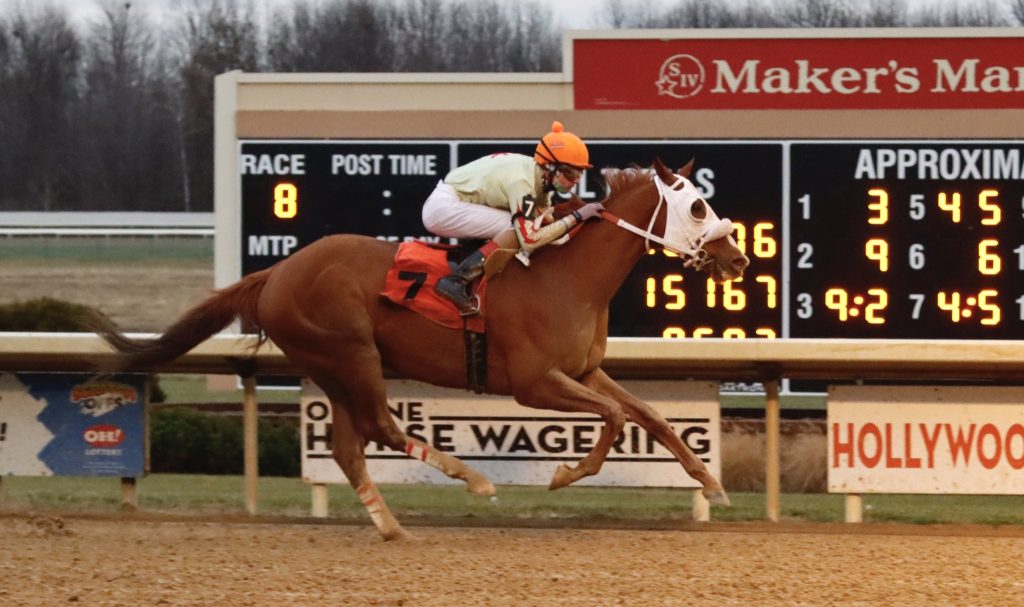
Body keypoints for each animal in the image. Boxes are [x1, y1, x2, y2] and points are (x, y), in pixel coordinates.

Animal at [90, 157, 750, 540]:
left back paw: (391, 526)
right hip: (350, 353)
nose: (738, 256)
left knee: (348, 445)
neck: (565, 276)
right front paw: (565, 474)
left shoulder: (585, 371)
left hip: (331, 366)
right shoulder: (534, 383)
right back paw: (472, 481)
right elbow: (614, 418)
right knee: (379, 426)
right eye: (697, 205)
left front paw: (711, 484)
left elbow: (652, 417)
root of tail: (276, 271)